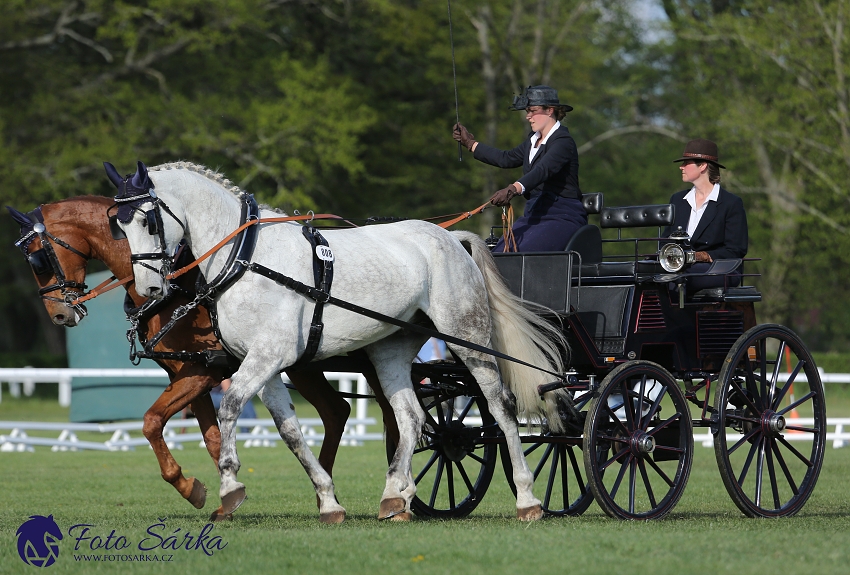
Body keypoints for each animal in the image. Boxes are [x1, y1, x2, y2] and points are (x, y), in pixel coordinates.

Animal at [6, 197, 390, 520]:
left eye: (37, 258)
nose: (59, 315)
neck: (177, 285)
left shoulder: (205, 369)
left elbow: (151, 421)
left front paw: (196, 488)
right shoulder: (188, 372)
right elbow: (210, 437)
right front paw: (222, 496)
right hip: (304, 366)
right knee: (337, 411)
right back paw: (329, 489)